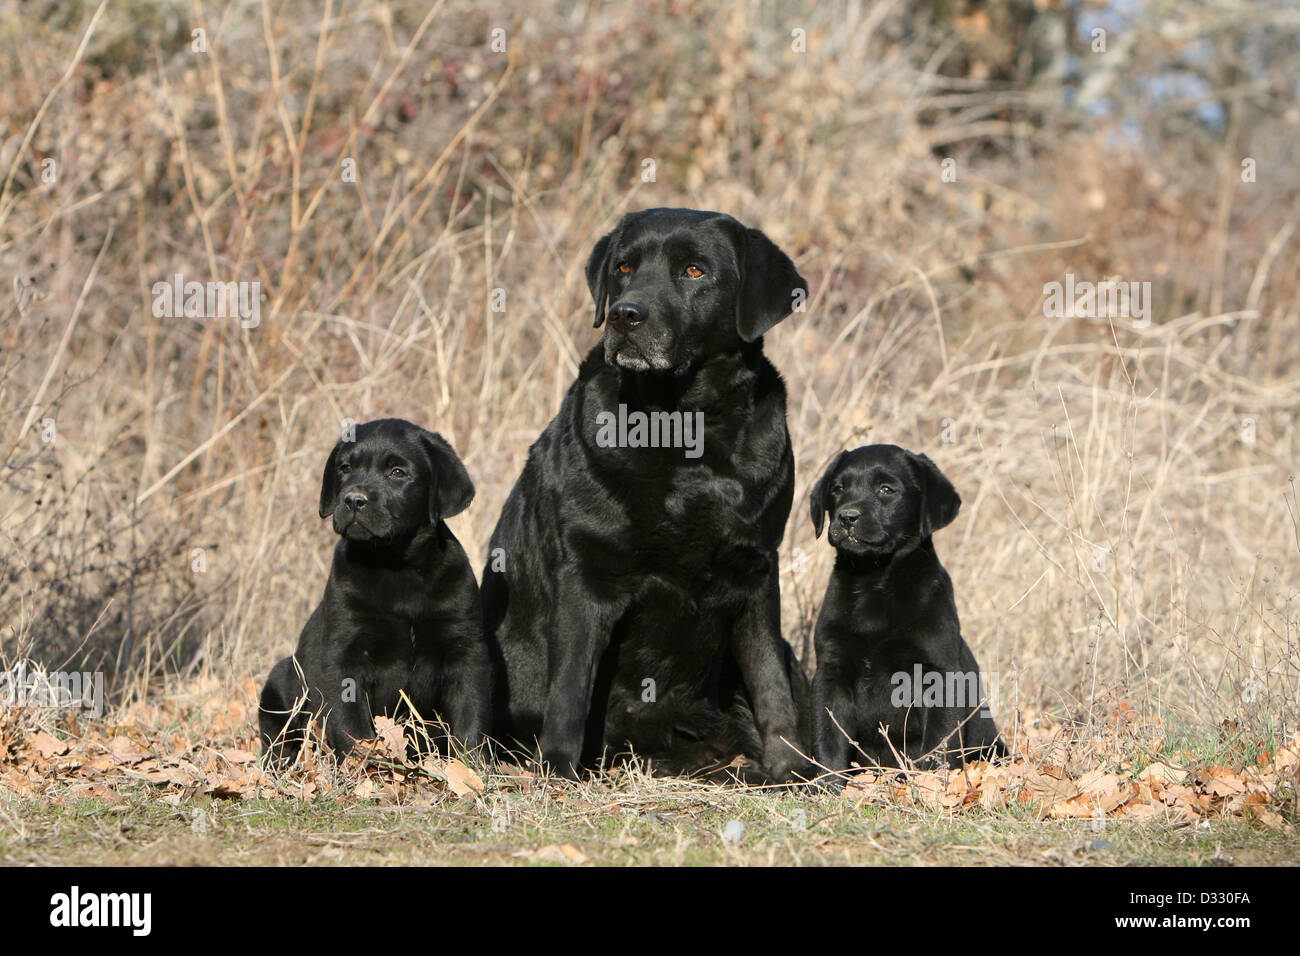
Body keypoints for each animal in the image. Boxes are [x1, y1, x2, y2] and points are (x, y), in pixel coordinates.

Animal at [258, 418, 491, 764]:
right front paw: (365, 766)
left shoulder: (465, 648)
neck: (395, 564)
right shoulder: (345, 653)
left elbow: (470, 716)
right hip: (281, 678)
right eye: (344, 468)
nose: (353, 500)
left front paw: (472, 766)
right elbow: (351, 723)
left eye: (397, 472)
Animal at [483, 205, 811, 780]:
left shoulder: (756, 570)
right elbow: (569, 690)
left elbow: (772, 683)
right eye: (623, 268)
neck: (683, 432)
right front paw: (558, 770)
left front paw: (791, 772)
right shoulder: (587, 574)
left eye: (695, 271)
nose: (625, 316)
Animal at [811, 447, 1003, 780]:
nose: (847, 516)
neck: (874, 581)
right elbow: (829, 738)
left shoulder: (938, 673)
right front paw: (826, 786)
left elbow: (938, 743)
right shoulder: (831, 672)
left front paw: (932, 783)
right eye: (837, 489)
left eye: (886, 490)